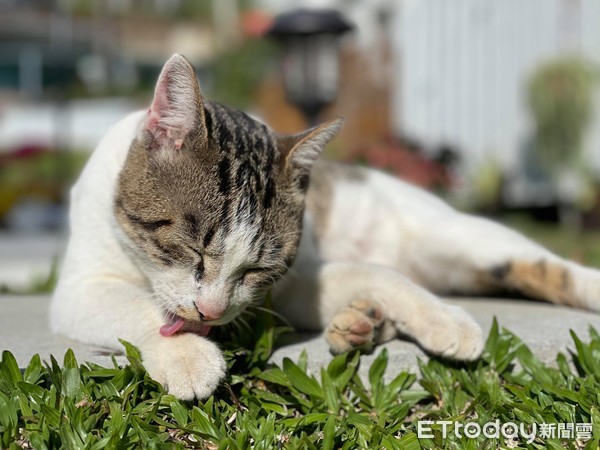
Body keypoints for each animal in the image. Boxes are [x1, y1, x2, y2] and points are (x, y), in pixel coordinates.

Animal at [50, 54, 600, 400]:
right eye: (192, 248)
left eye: (256, 269)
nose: (212, 311)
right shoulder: (79, 287)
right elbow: (134, 305)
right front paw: (185, 354)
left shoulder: (290, 284)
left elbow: (384, 275)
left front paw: (445, 320)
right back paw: (362, 322)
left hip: (464, 238)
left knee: (545, 266)